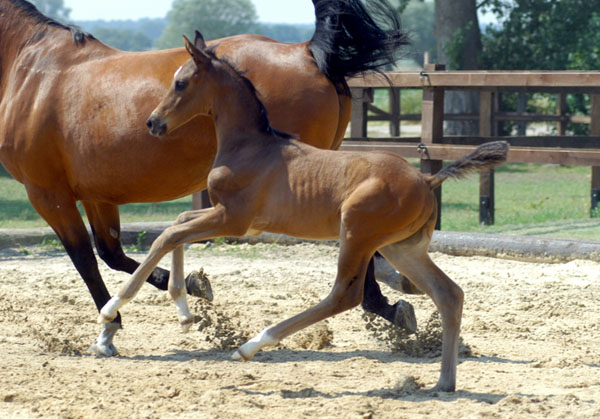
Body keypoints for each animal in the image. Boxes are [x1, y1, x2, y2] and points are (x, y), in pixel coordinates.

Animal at [0, 0, 408, 356]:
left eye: (182, 83)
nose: (152, 123)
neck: (28, 67)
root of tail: (307, 52)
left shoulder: (47, 193)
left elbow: (85, 257)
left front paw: (109, 329)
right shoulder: (96, 194)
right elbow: (112, 252)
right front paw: (192, 286)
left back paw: (384, 301)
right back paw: (391, 299)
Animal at [101, 33, 508, 394]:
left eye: (181, 83)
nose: (153, 123)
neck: (251, 147)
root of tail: (427, 178)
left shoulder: (234, 219)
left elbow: (169, 233)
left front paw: (112, 307)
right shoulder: (225, 216)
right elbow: (179, 225)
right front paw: (184, 310)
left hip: (357, 234)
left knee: (344, 296)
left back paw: (250, 346)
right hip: (401, 247)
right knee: (448, 294)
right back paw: (444, 383)